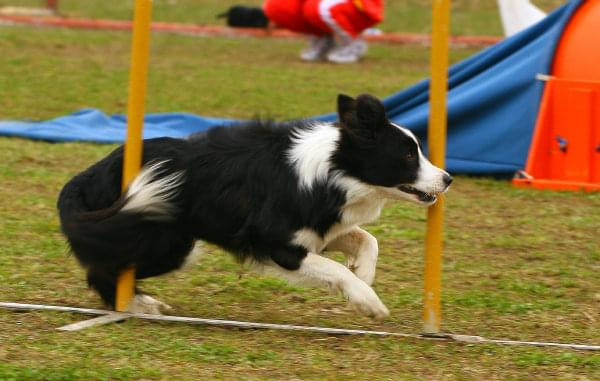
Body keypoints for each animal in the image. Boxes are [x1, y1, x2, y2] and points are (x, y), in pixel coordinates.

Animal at [57, 93, 450, 320]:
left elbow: (367, 240)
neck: (335, 171)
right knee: (102, 270)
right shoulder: (276, 244)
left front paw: (364, 274)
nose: (447, 179)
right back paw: (138, 305)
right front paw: (368, 301)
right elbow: (334, 268)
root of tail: (87, 175)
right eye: (407, 155)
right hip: (168, 242)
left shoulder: (319, 228)